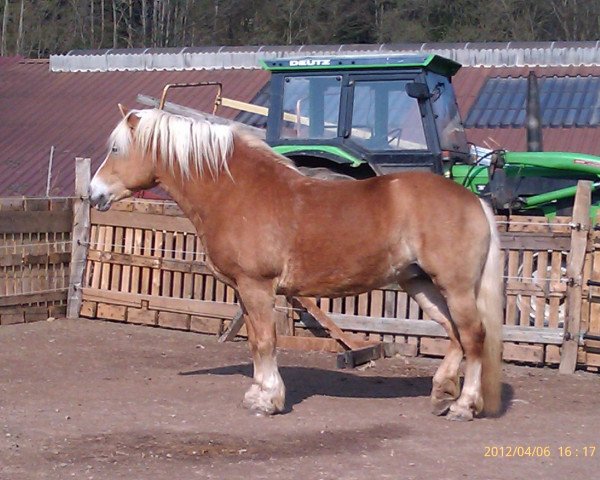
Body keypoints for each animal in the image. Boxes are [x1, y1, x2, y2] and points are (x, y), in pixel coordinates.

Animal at [89, 105, 504, 420]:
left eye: (116, 149)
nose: (93, 193)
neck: (237, 191)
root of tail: (473, 200)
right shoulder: (245, 290)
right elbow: (254, 341)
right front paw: (258, 393)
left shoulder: (257, 286)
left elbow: (265, 342)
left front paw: (268, 400)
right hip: (421, 284)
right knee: (454, 334)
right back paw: (441, 394)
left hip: (454, 287)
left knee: (472, 336)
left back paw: (464, 406)